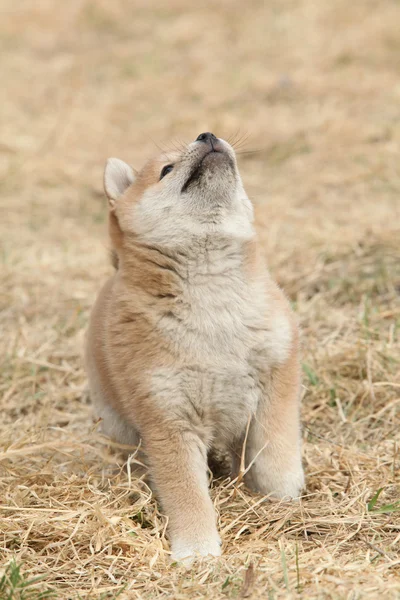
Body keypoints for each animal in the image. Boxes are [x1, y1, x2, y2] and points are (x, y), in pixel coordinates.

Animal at [84, 131, 304, 564]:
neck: (213, 302)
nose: (207, 135)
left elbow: (276, 456)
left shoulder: (276, 386)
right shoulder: (169, 417)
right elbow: (187, 495)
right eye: (166, 169)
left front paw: (283, 501)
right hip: (120, 426)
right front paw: (198, 552)